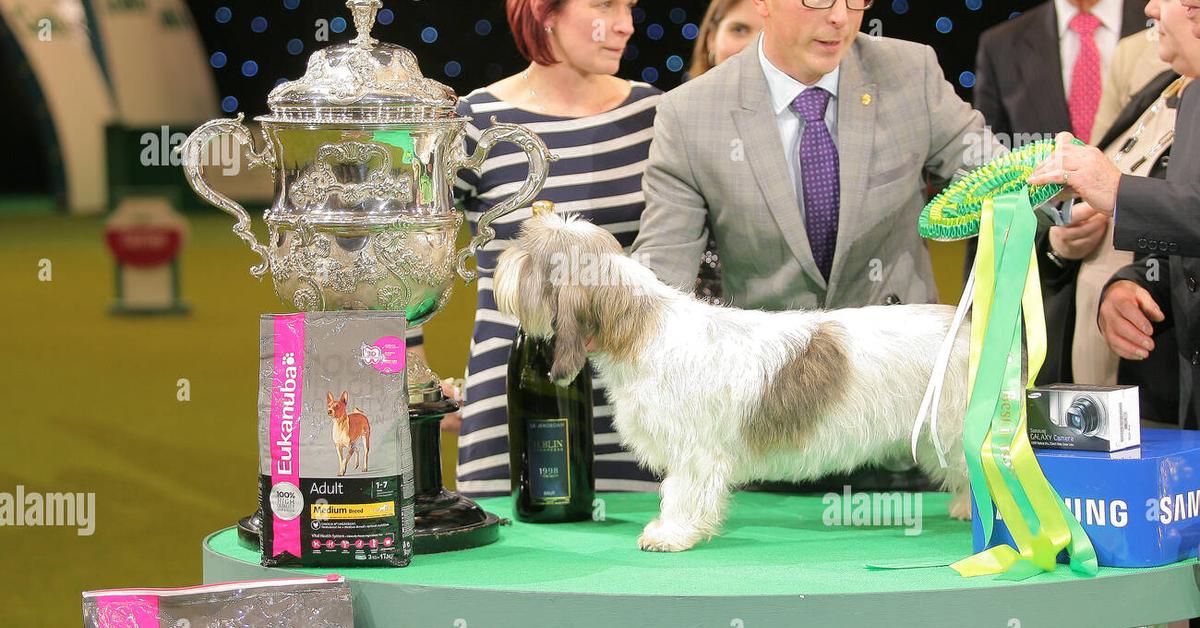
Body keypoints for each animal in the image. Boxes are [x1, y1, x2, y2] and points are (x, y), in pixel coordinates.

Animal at [492, 213, 969, 552]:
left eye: (529, 256)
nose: (499, 263)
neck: (641, 330)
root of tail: (965, 323)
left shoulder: (693, 451)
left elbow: (680, 491)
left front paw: (671, 534)